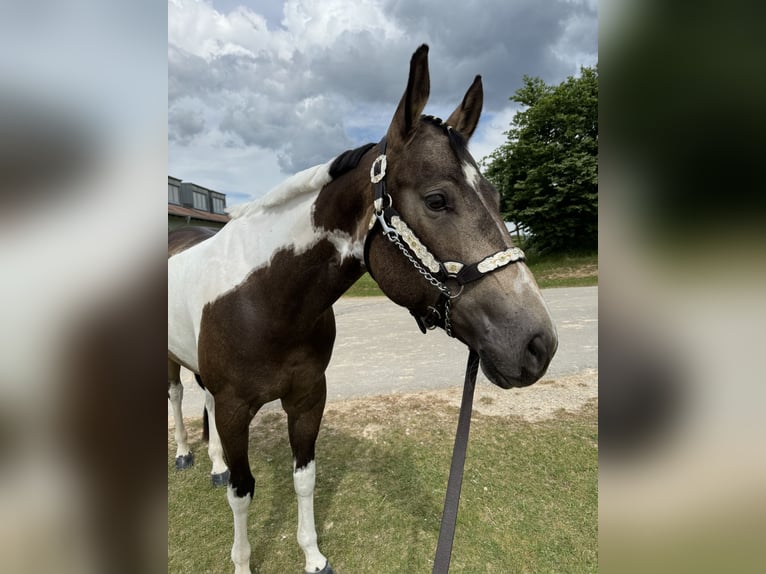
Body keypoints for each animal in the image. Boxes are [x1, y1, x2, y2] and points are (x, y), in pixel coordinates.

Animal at [168, 45, 557, 574]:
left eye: (496, 197)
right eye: (437, 200)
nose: (538, 344)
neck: (265, 301)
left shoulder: (308, 398)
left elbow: (304, 478)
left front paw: (313, 556)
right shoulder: (234, 410)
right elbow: (243, 492)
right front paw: (243, 562)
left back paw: (213, 465)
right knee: (177, 396)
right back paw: (187, 455)